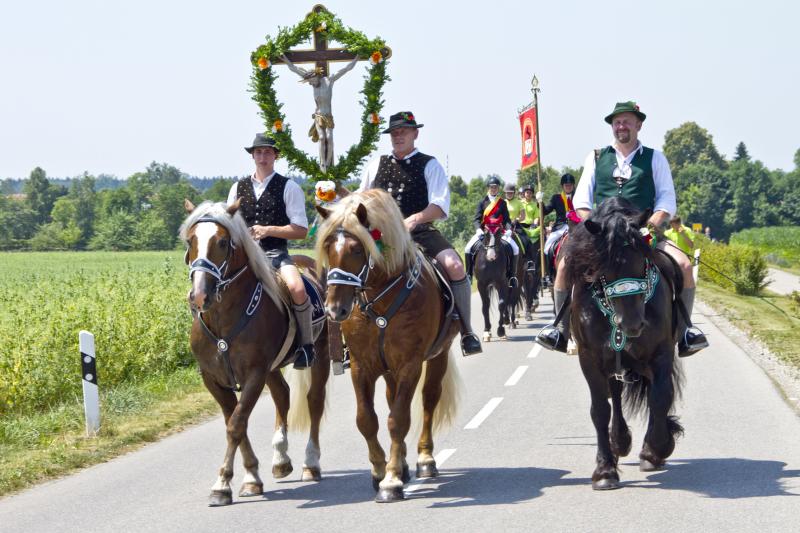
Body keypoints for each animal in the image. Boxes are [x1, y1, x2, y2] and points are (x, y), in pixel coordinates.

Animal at [182, 198, 332, 502]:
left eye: (222, 242)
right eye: (191, 241)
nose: (200, 295)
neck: (224, 318)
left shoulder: (254, 375)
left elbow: (236, 424)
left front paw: (222, 484)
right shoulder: (213, 379)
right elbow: (235, 422)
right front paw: (251, 476)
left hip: (319, 355)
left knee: (314, 400)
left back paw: (310, 463)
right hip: (272, 369)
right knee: (283, 396)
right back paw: (281, 460)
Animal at [314, 190, 462, 502]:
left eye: (357, 249)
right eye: (328, 247)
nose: (335, 309)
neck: (380, 301)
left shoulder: (410, 365)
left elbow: (398, 419)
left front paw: (391, 480)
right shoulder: (363, 366)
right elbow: (366, 419)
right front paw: (381, 470)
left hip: (438, 356)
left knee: (429, 400)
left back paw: (425, 459)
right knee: (392, 399)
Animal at [564, 196, 688, 490]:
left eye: (642, 260)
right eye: (604, 266)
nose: (631, 324)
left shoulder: (661, 352)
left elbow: (660, 397)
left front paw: (656, 448)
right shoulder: (590, 359)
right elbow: (600, 409)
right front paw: (604, 471)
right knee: (616, 396)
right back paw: (619, 441)